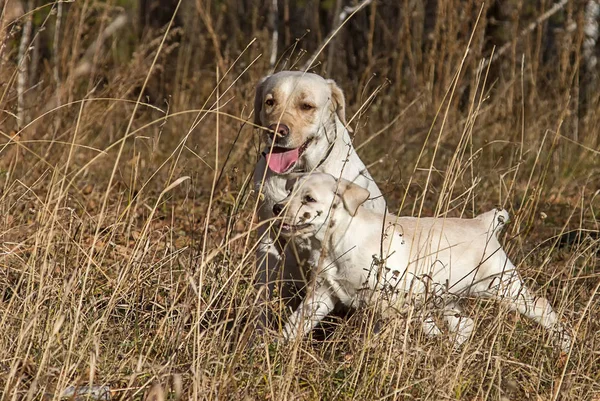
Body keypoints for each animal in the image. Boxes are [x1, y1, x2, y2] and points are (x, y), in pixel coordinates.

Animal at [274, 172, 572, 350]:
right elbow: (295, 324)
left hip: (504, 287)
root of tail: (485, 223)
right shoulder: (322, 294)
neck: (337, 240)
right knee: (465, 324)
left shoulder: (388, 303)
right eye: (289, 191)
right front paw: (275, 348)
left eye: (309, 198)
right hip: (446, 299)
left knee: (543, 308)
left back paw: (565, 345)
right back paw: (452, 352)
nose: (277, 208)